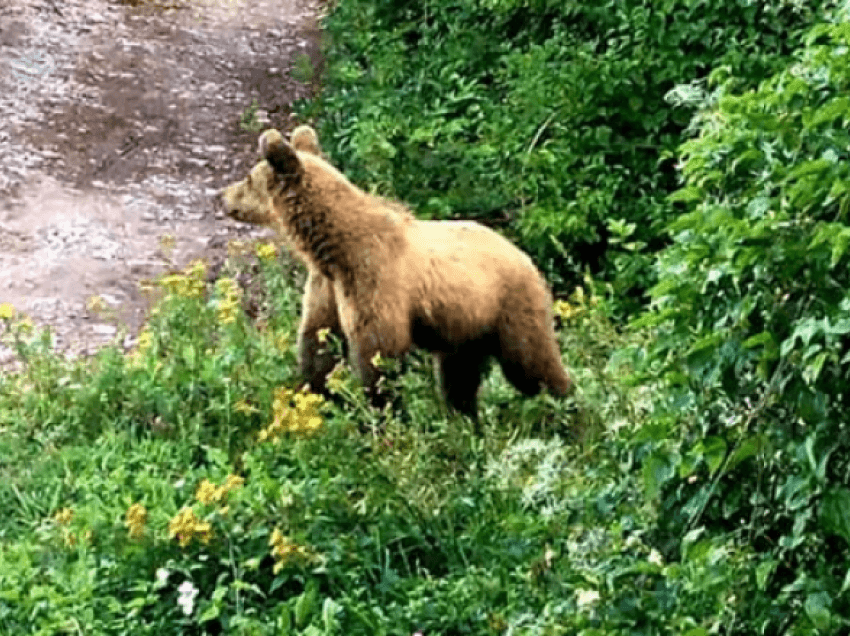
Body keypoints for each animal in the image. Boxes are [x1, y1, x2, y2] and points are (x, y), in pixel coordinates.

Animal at [222, 126, 572, 420]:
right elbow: (318, 344)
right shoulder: (328, 287)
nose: (223, 196)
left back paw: (569, 414)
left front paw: (381, 416)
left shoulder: (375, 281)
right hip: (464, 328)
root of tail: (525, 256)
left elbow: (379, 354)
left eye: (248, 178)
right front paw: (316, 397)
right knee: (459, 379)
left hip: (508, 306)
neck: (333, 249)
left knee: (532, 364)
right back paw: (465, 422)